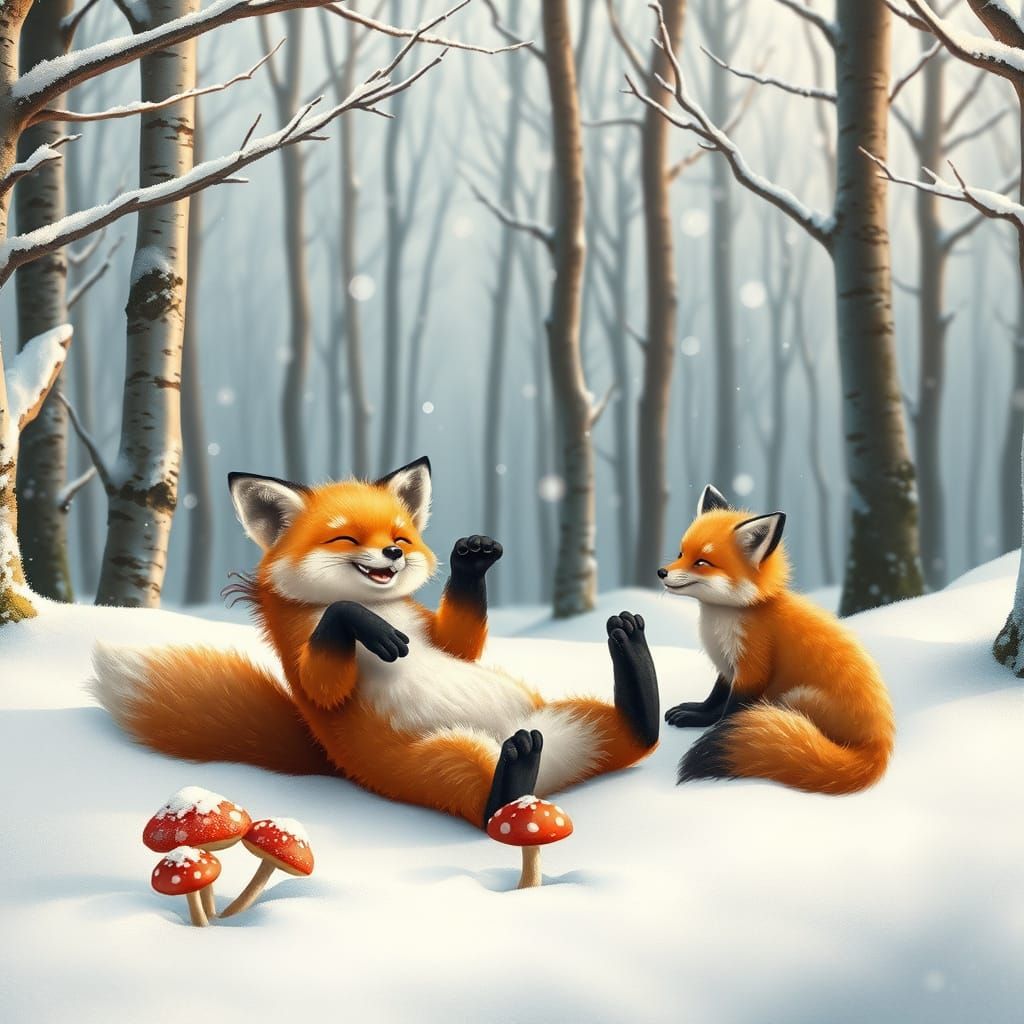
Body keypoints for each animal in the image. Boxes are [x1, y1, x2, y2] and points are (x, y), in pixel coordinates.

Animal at [92, 457, 661, 828]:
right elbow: (328, 664)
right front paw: (368, 626)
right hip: (444, 761)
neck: (384, 605)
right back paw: (514, 770)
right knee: (487, 808)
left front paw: (472, 557)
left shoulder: (432, 627)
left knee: (640, 737)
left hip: (579, 724)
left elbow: (459, 644)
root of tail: (548, 784)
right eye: (346, 537)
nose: (392, 552)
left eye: (401, 535)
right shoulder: (304, 657)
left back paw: (633, 657)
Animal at [658, 484, 894, 795]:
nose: (661, 572)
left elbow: (730, 709)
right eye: (681, 552)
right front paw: (697, 714)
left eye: (702, 562)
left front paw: (716, 729)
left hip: (795, 697)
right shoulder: (728, 666)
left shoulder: (751, 667)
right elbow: (714, 698)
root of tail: (879, 745)